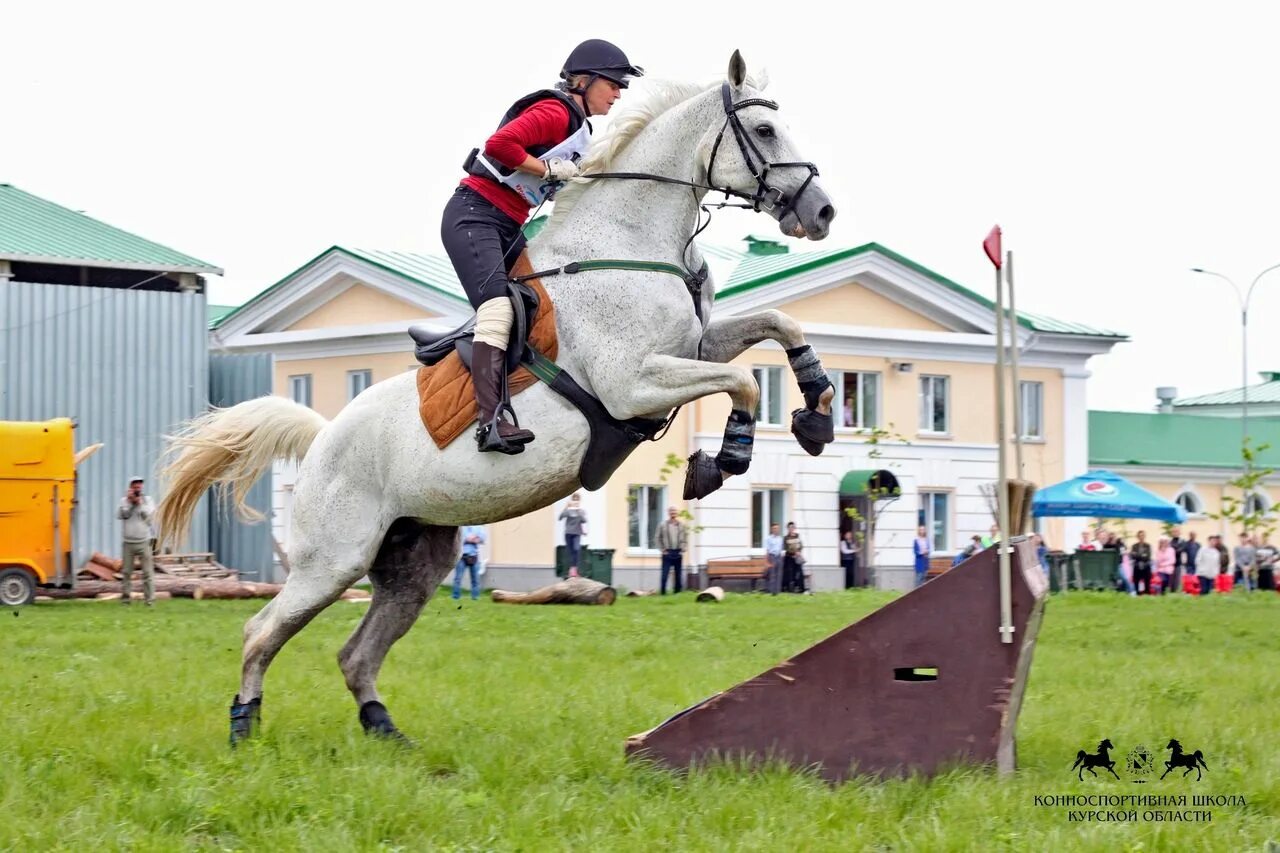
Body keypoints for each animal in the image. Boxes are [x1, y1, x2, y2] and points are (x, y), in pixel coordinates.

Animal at [160, 51, 839, 742]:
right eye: (763, 131)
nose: (821, 213)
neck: (627, 246)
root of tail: (322, 437)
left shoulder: (695, 347)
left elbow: (780, 324)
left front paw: (815, 411)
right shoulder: (634, 384)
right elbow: (745, 381)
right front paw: (724, 460)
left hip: (413, 562)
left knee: (357, 652)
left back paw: (386, 732)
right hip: (333, 559)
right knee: (261, 632)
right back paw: (244, 727)